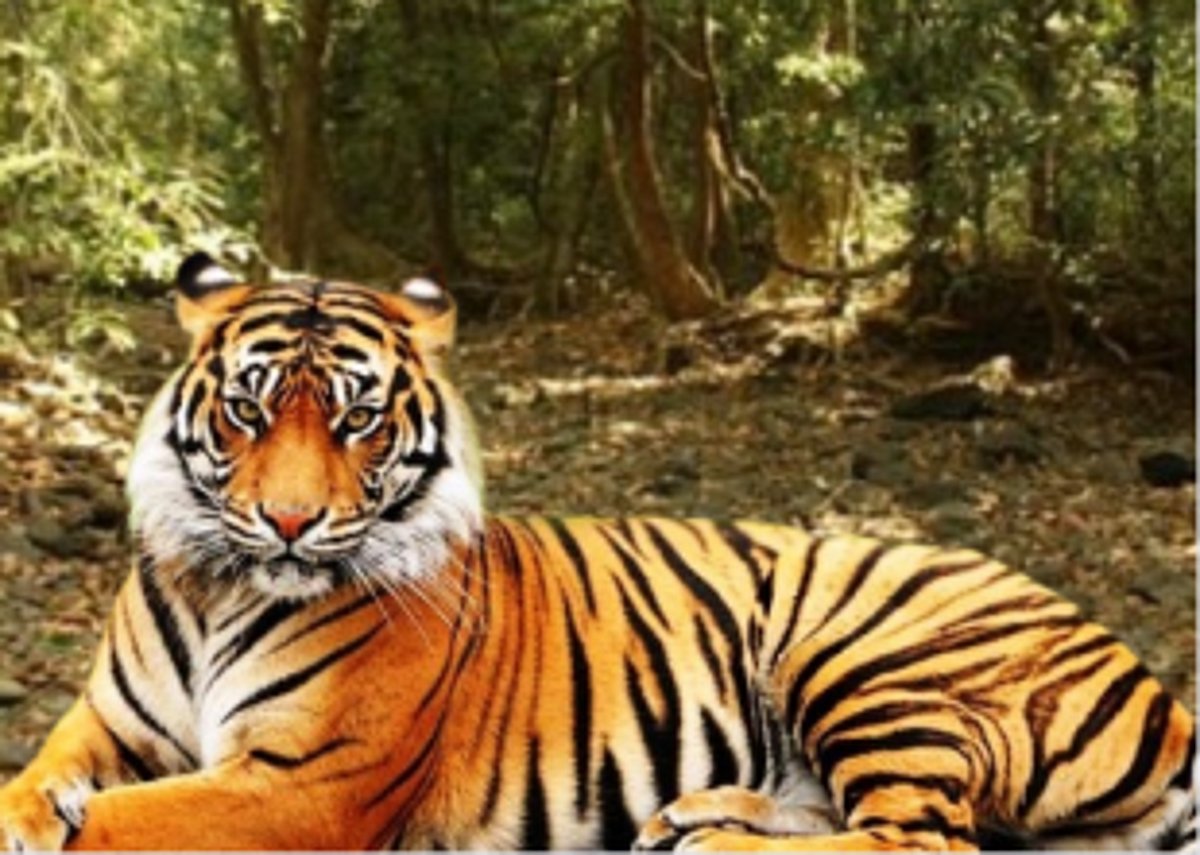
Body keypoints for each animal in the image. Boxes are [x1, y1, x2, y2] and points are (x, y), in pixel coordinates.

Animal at [0, 252, 1193, 852]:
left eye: (357, 420)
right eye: (249, 411)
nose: (290, 524)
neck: (217, 588)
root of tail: (1161, 691)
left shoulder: (307, 782)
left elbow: (121, 824)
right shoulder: (109, 723)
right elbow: (41, 774)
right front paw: (31, 809)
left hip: (867, 651)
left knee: (921, 840)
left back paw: (717, 844)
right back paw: (698, 816)